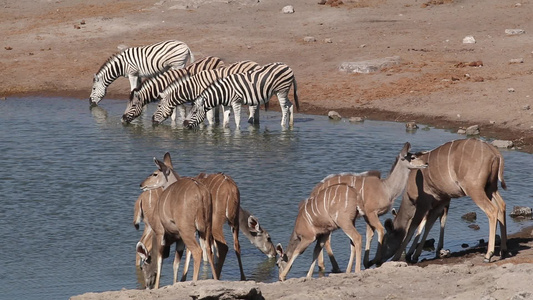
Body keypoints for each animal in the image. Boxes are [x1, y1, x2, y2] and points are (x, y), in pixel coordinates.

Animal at [136, 154, 217, 290]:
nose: (141, 184)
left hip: (187, 230)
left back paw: (194, 282)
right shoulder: (179, 239)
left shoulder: (160, 232)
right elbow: (176, 263)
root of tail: (201, 193)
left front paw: (157, 287)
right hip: (206, 228)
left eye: (155, 174)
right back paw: (216, 279)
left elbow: (160, 259)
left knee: (198, 251)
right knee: (208, 250)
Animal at [378, 137, 508, 264]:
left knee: (492, 210)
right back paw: (503, 250)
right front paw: (415, 255)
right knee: (502, 206)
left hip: (475, 189)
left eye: (385, 240)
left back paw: (488, 255)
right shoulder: (441, 201)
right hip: (490, 188)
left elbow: (413, 227)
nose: (377, 260)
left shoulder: (423, 204)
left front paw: (400, 257)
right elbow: (429, 224)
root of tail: (495, 153)